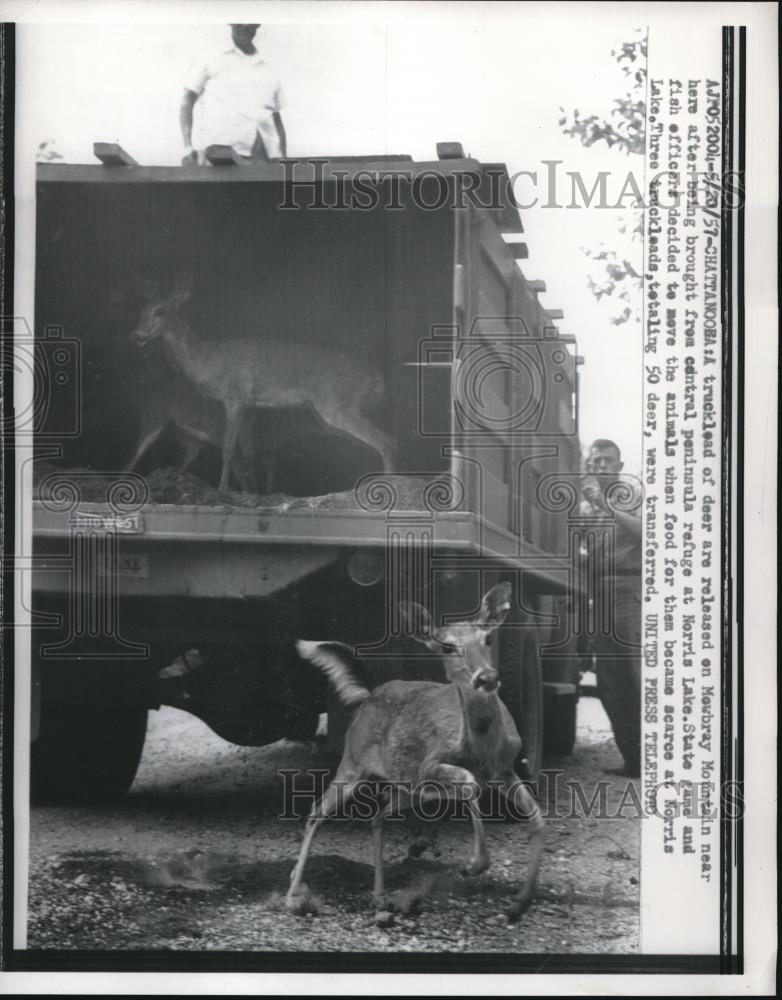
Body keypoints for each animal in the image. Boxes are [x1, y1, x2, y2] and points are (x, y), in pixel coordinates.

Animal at [132, 276, 398, 494]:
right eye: (142, 309)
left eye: (161, 311)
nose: (137, 335)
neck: (206, 359)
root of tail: (378, 378)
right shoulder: (250, 409)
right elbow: (248, 455)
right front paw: (253, 493)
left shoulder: (236, 397)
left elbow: (228, 449)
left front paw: (222, 490)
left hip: (336, 404)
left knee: (385, 440)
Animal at [288, 584, 544, 924]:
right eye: (447, 647)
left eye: (488, 639)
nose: (486, 678)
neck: (481, 750)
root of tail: (368, 696)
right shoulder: (430, 766)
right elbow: (469, 783)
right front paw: (474, 865)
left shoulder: (505, 769)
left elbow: (537, 818)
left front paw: (520, 902)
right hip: (353, 762)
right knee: (318, 810)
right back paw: (293, 895)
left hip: (409, 789)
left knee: (379, 811)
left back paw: (380, 895)